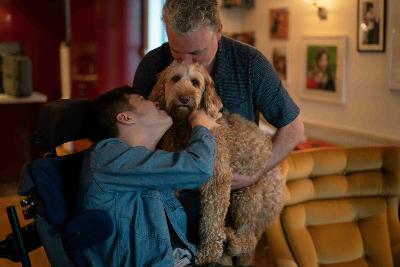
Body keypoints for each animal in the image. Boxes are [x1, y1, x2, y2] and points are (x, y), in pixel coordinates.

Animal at [149, 62, 284, 266]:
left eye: (196, 83)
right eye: (175, 79)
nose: (184, 98)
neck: (185, 128)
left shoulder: (217, 181)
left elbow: (212, 219)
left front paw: (208, 252)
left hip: (247, 197)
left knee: (249, 238)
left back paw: (232, 241)